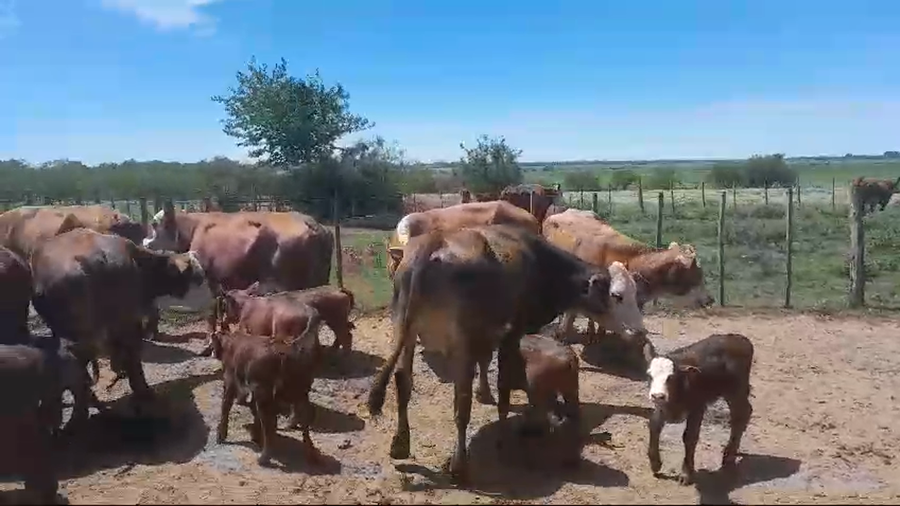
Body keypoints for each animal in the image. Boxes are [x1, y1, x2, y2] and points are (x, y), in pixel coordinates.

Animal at [141, 204, 334, 352]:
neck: (195, 227)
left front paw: (209, 343)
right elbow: (221, 308)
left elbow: (210, 314)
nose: (144, 242)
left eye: (154, 224)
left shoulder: (209, 280)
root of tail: (314, 224)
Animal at [212, 325, 324, 467]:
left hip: (265, 395)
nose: (212, 352)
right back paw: (312, 454)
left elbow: (225, 406)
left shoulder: (230, 381)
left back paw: (264, 458)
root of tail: (285, 353)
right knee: (304, 419)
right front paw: (255, 434)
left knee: (269, 423)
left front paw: (221, 435)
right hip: (299, 393)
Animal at [366, 224, 646, 483]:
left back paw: (401, 444)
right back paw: (460, 466)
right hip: (459, 342)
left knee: (404, 382)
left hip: (404, 331)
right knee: (461, 400)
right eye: (617, 296)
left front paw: (484, 393)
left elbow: (487, 363)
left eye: (635, 294)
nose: (640, 332)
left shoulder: (488, 336)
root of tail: (436, 241)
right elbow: (503, 385)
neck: (539, 262)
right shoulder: (511, 332)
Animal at [643, 333, 754, 485]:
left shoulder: (698, 407)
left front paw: (686, 473)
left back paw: (729, 455)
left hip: (737, 389)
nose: (657, 395)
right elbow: (654, 425)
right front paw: (655, 463)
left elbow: (690, 437)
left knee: (741, 414)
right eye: (649, 375)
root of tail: (739, 338)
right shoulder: (662, 407)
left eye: (671, 377)